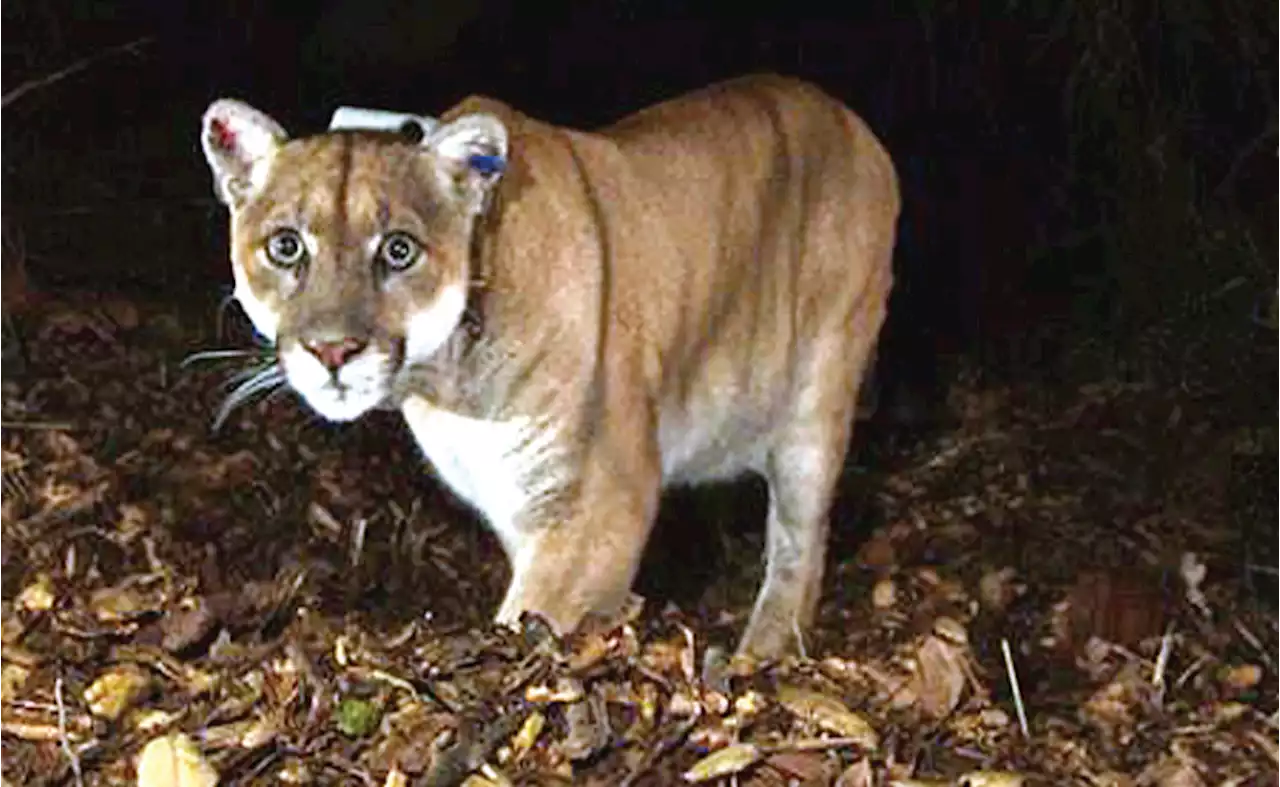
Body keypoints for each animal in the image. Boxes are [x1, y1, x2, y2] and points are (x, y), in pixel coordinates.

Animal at [202, 73, 901, 655]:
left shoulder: (600, 503)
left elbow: (532, 617)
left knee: (800, 547)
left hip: (817, 400)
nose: (332, 351)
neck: (448, 385)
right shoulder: (519, 503)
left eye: (399, 250)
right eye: (286, 247)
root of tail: (852, 119)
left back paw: (762, 652)